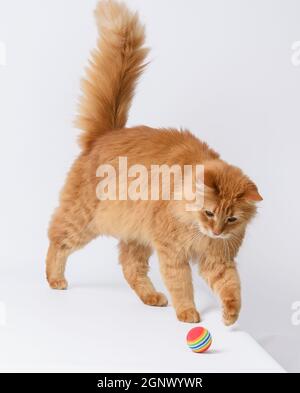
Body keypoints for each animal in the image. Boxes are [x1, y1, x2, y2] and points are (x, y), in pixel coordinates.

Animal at [45, 0, 262, 324]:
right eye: (209, 213)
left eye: (232, 219)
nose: (217, 231)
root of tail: (106, 134)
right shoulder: (173, 252)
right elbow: (182, 285)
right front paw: (188, 313)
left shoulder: (217, 258)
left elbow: (231, 286)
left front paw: (230, 316)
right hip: (82, 220)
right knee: (56, 240)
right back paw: (54, 279)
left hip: (136, 238)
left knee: (130, 267)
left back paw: (151, 297)